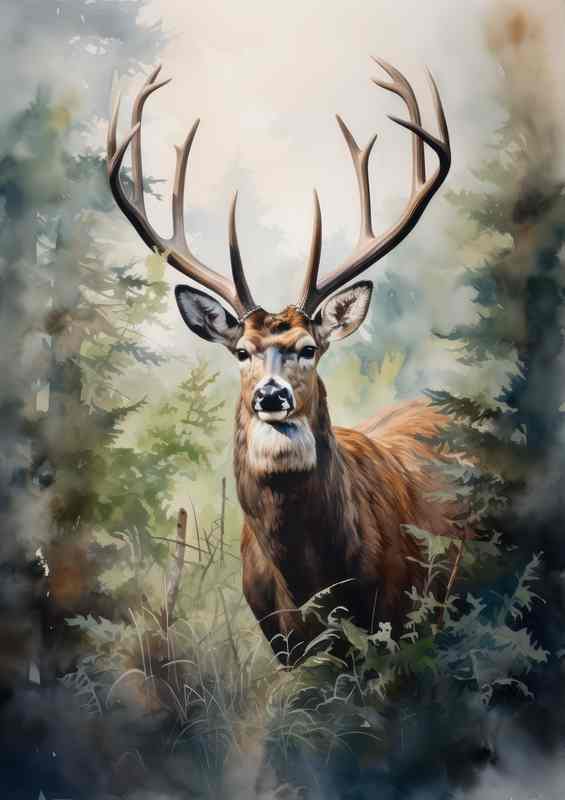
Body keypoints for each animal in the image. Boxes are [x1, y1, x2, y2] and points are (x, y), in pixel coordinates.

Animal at [107, 59, 458, 664]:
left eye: (309, 348)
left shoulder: (402, 619)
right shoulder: (282, 643)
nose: (271, 395)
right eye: (241, 351)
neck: (315, 580)